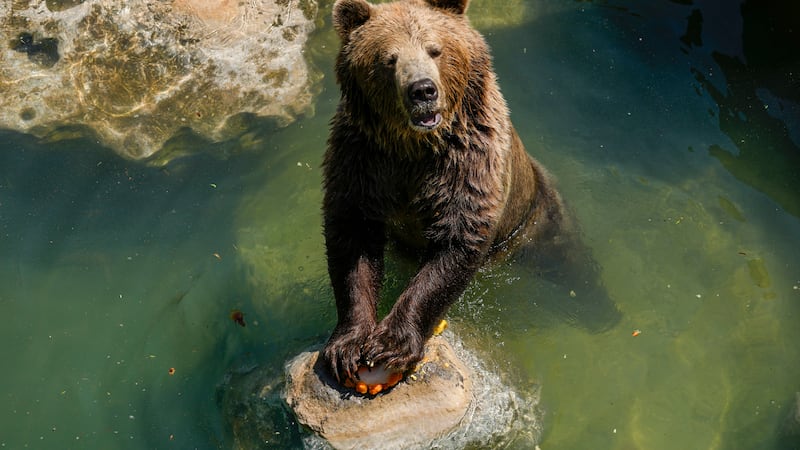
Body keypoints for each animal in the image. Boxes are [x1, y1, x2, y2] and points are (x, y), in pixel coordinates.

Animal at [321, 0, 618, 385]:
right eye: (389, 58)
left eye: (435, 49)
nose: (423, 90)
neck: (413, 147)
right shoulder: (363, 161)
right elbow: (352, 236)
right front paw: (347, 345)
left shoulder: (468, 162)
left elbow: (457, 239)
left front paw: (393, 343)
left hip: (539, 219)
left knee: (572, 264)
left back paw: (603, 313)